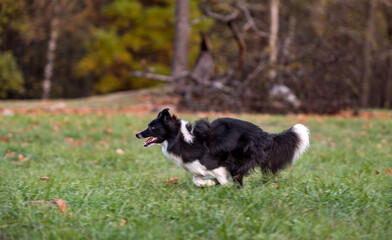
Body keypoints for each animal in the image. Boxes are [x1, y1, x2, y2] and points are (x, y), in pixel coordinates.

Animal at [135, 109, 310, 188]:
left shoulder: (216, 165)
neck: (180, 137)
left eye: (152, 127)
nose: (137, 134)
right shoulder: (198, 168)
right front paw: (210, 183)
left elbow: (222, 180)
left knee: (238, 176)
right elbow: (196, 179)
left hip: (238, 158)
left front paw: (222, 186)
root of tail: (264, 135)